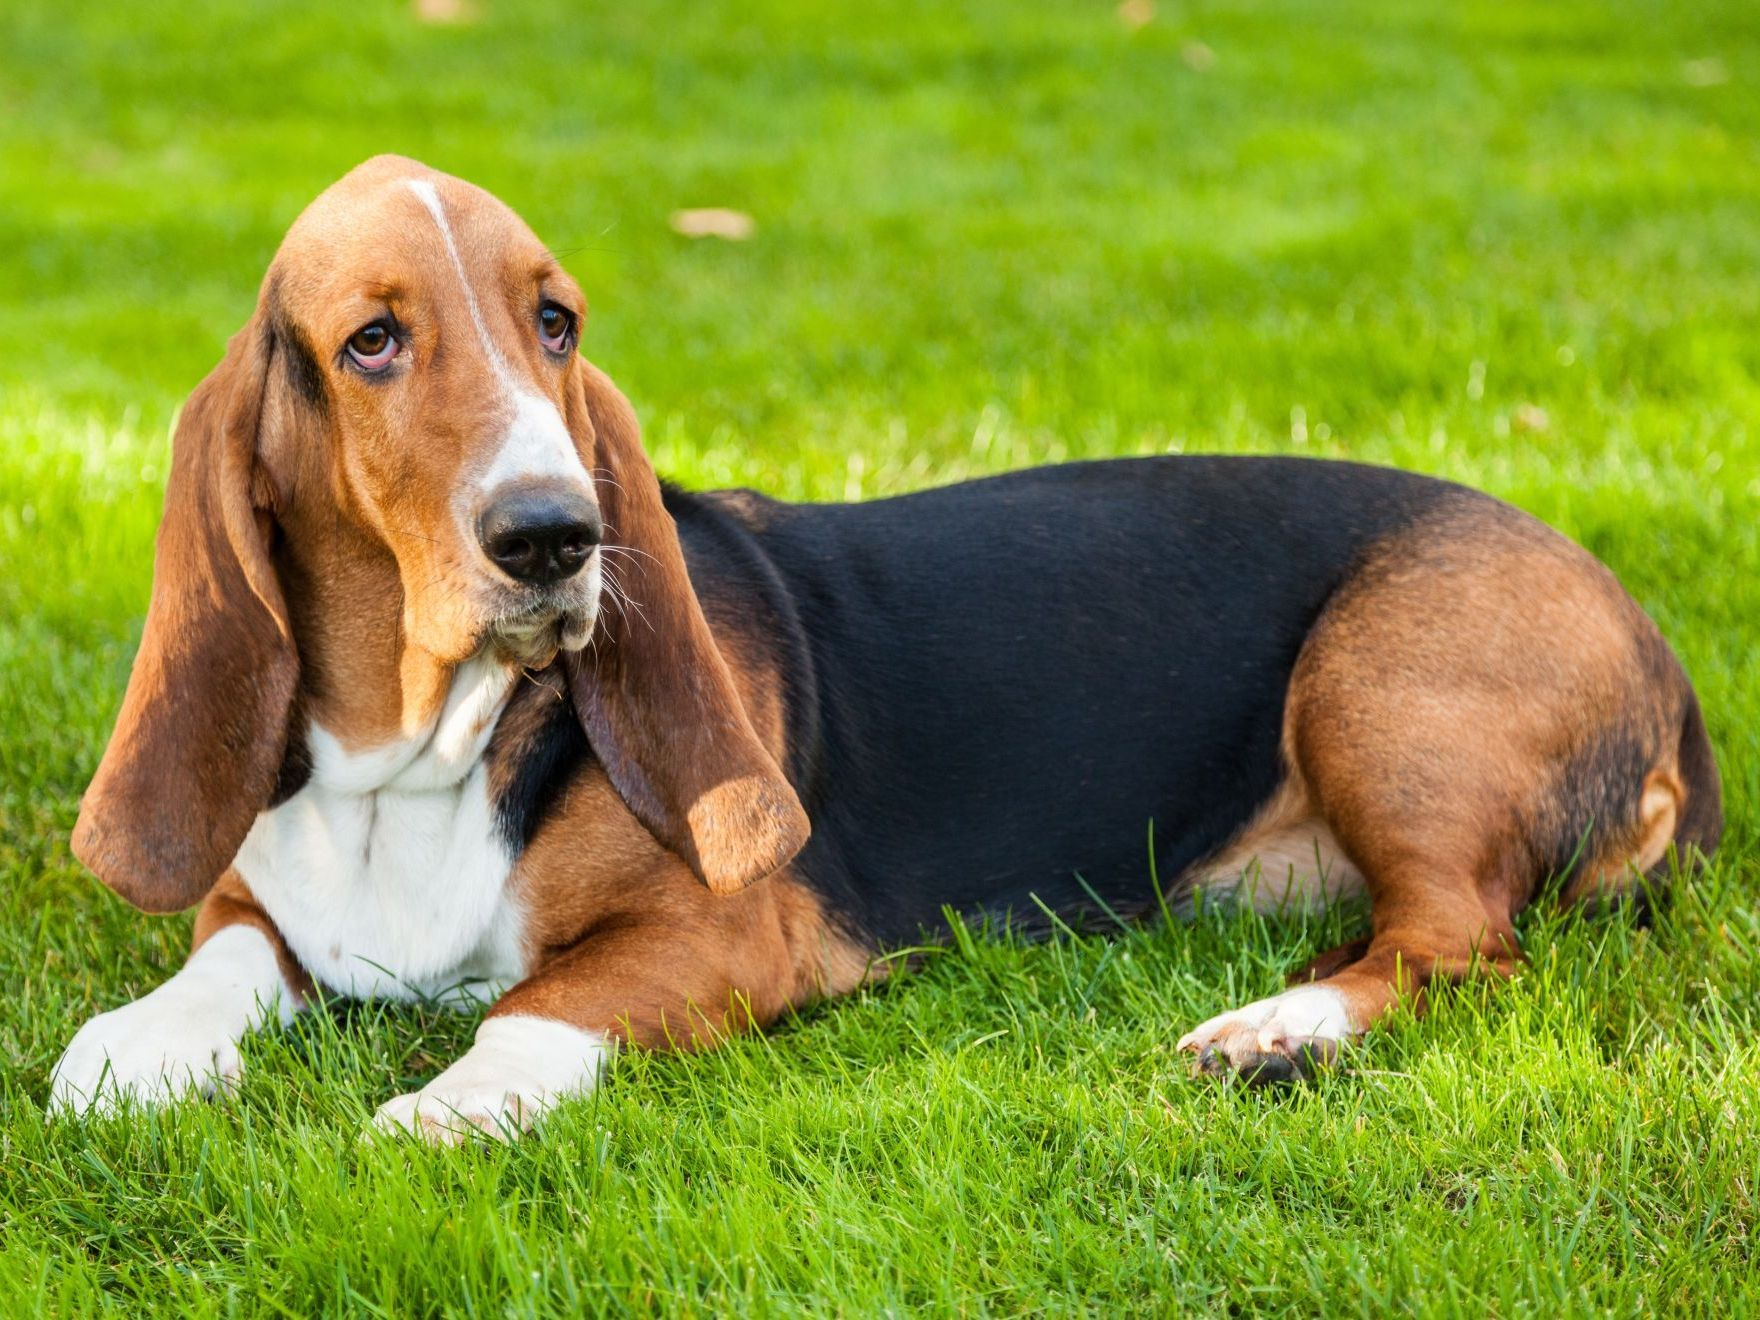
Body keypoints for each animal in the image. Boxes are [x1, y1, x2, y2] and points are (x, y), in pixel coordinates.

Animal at [48, 160, 1724, 1140]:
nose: (556, 536)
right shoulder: (272, 899)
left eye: (556, 324)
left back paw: (1276, 1031)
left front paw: (449, 1105)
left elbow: (539, 1007)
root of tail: (1654, 640)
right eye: (372, 342)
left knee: (1460, 943)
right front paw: (131, 1047)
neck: (414, 758)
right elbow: (228, 952)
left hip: (1378, 688)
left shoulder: (734, 936)